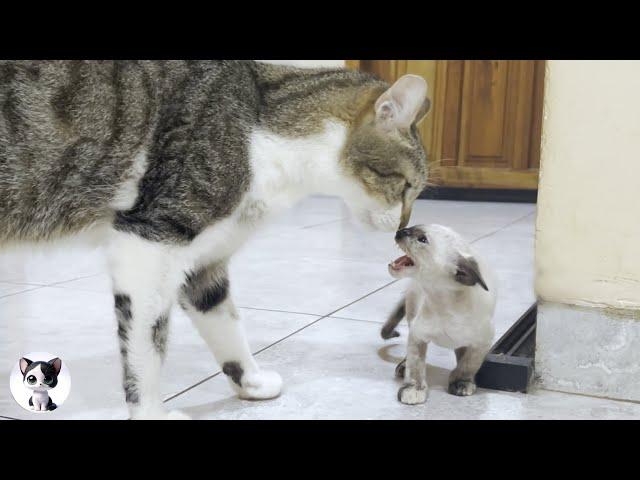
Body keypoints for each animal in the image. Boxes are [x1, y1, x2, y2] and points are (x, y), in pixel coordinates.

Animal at [1, 61, 430, 420]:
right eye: (407, 186)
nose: (401, 229)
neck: (262, 129)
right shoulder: (150, 241)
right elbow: (146, 345)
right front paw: (151, 412)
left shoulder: (204, 261)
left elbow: (225, 323)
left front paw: (251, 382)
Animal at [380, 225, 496, 404]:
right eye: (412, 228)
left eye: (422, 239)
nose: (400, 231)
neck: (445, 303)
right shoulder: (417, 335)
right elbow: (415, 366)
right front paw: (414, 390)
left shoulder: (483, 342)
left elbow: (468, 364)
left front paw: (461, 382)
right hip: (412, 313)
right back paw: (403, 367)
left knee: (461, 352)